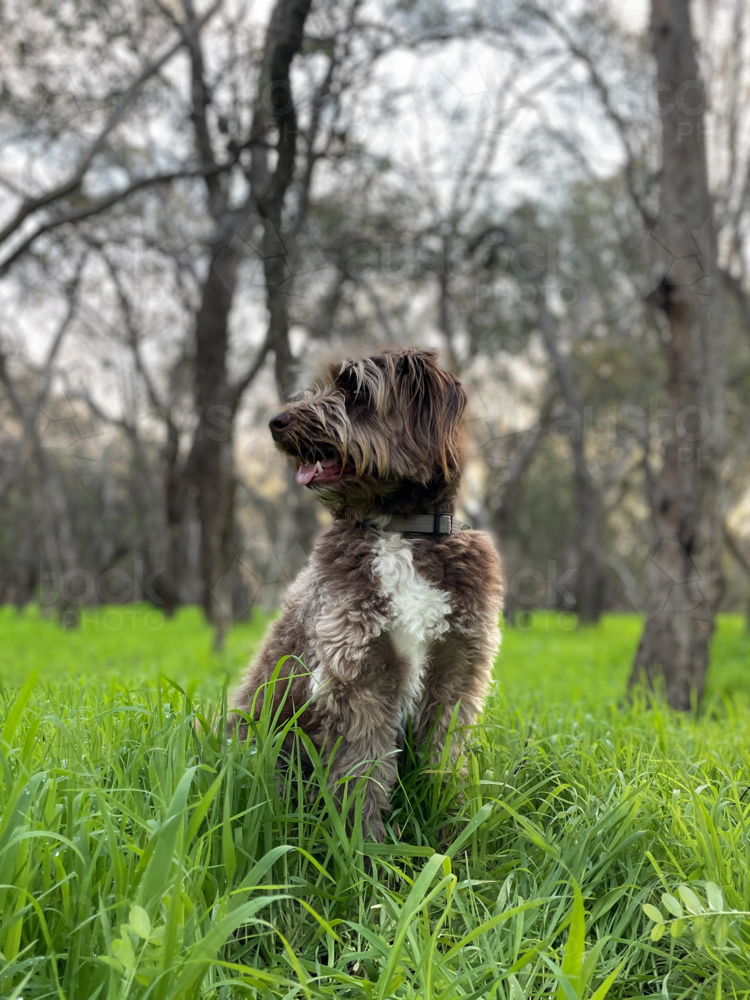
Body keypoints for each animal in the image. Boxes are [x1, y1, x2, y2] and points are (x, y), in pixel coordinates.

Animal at [234, 348, 506, 840]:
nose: (277, 421)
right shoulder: (358, 672)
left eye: (355, 389)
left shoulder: (457, 669)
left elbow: (443, 759)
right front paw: (366, 849)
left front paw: (452, 831)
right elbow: (364, 772)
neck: (402, 529)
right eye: (320, 387)